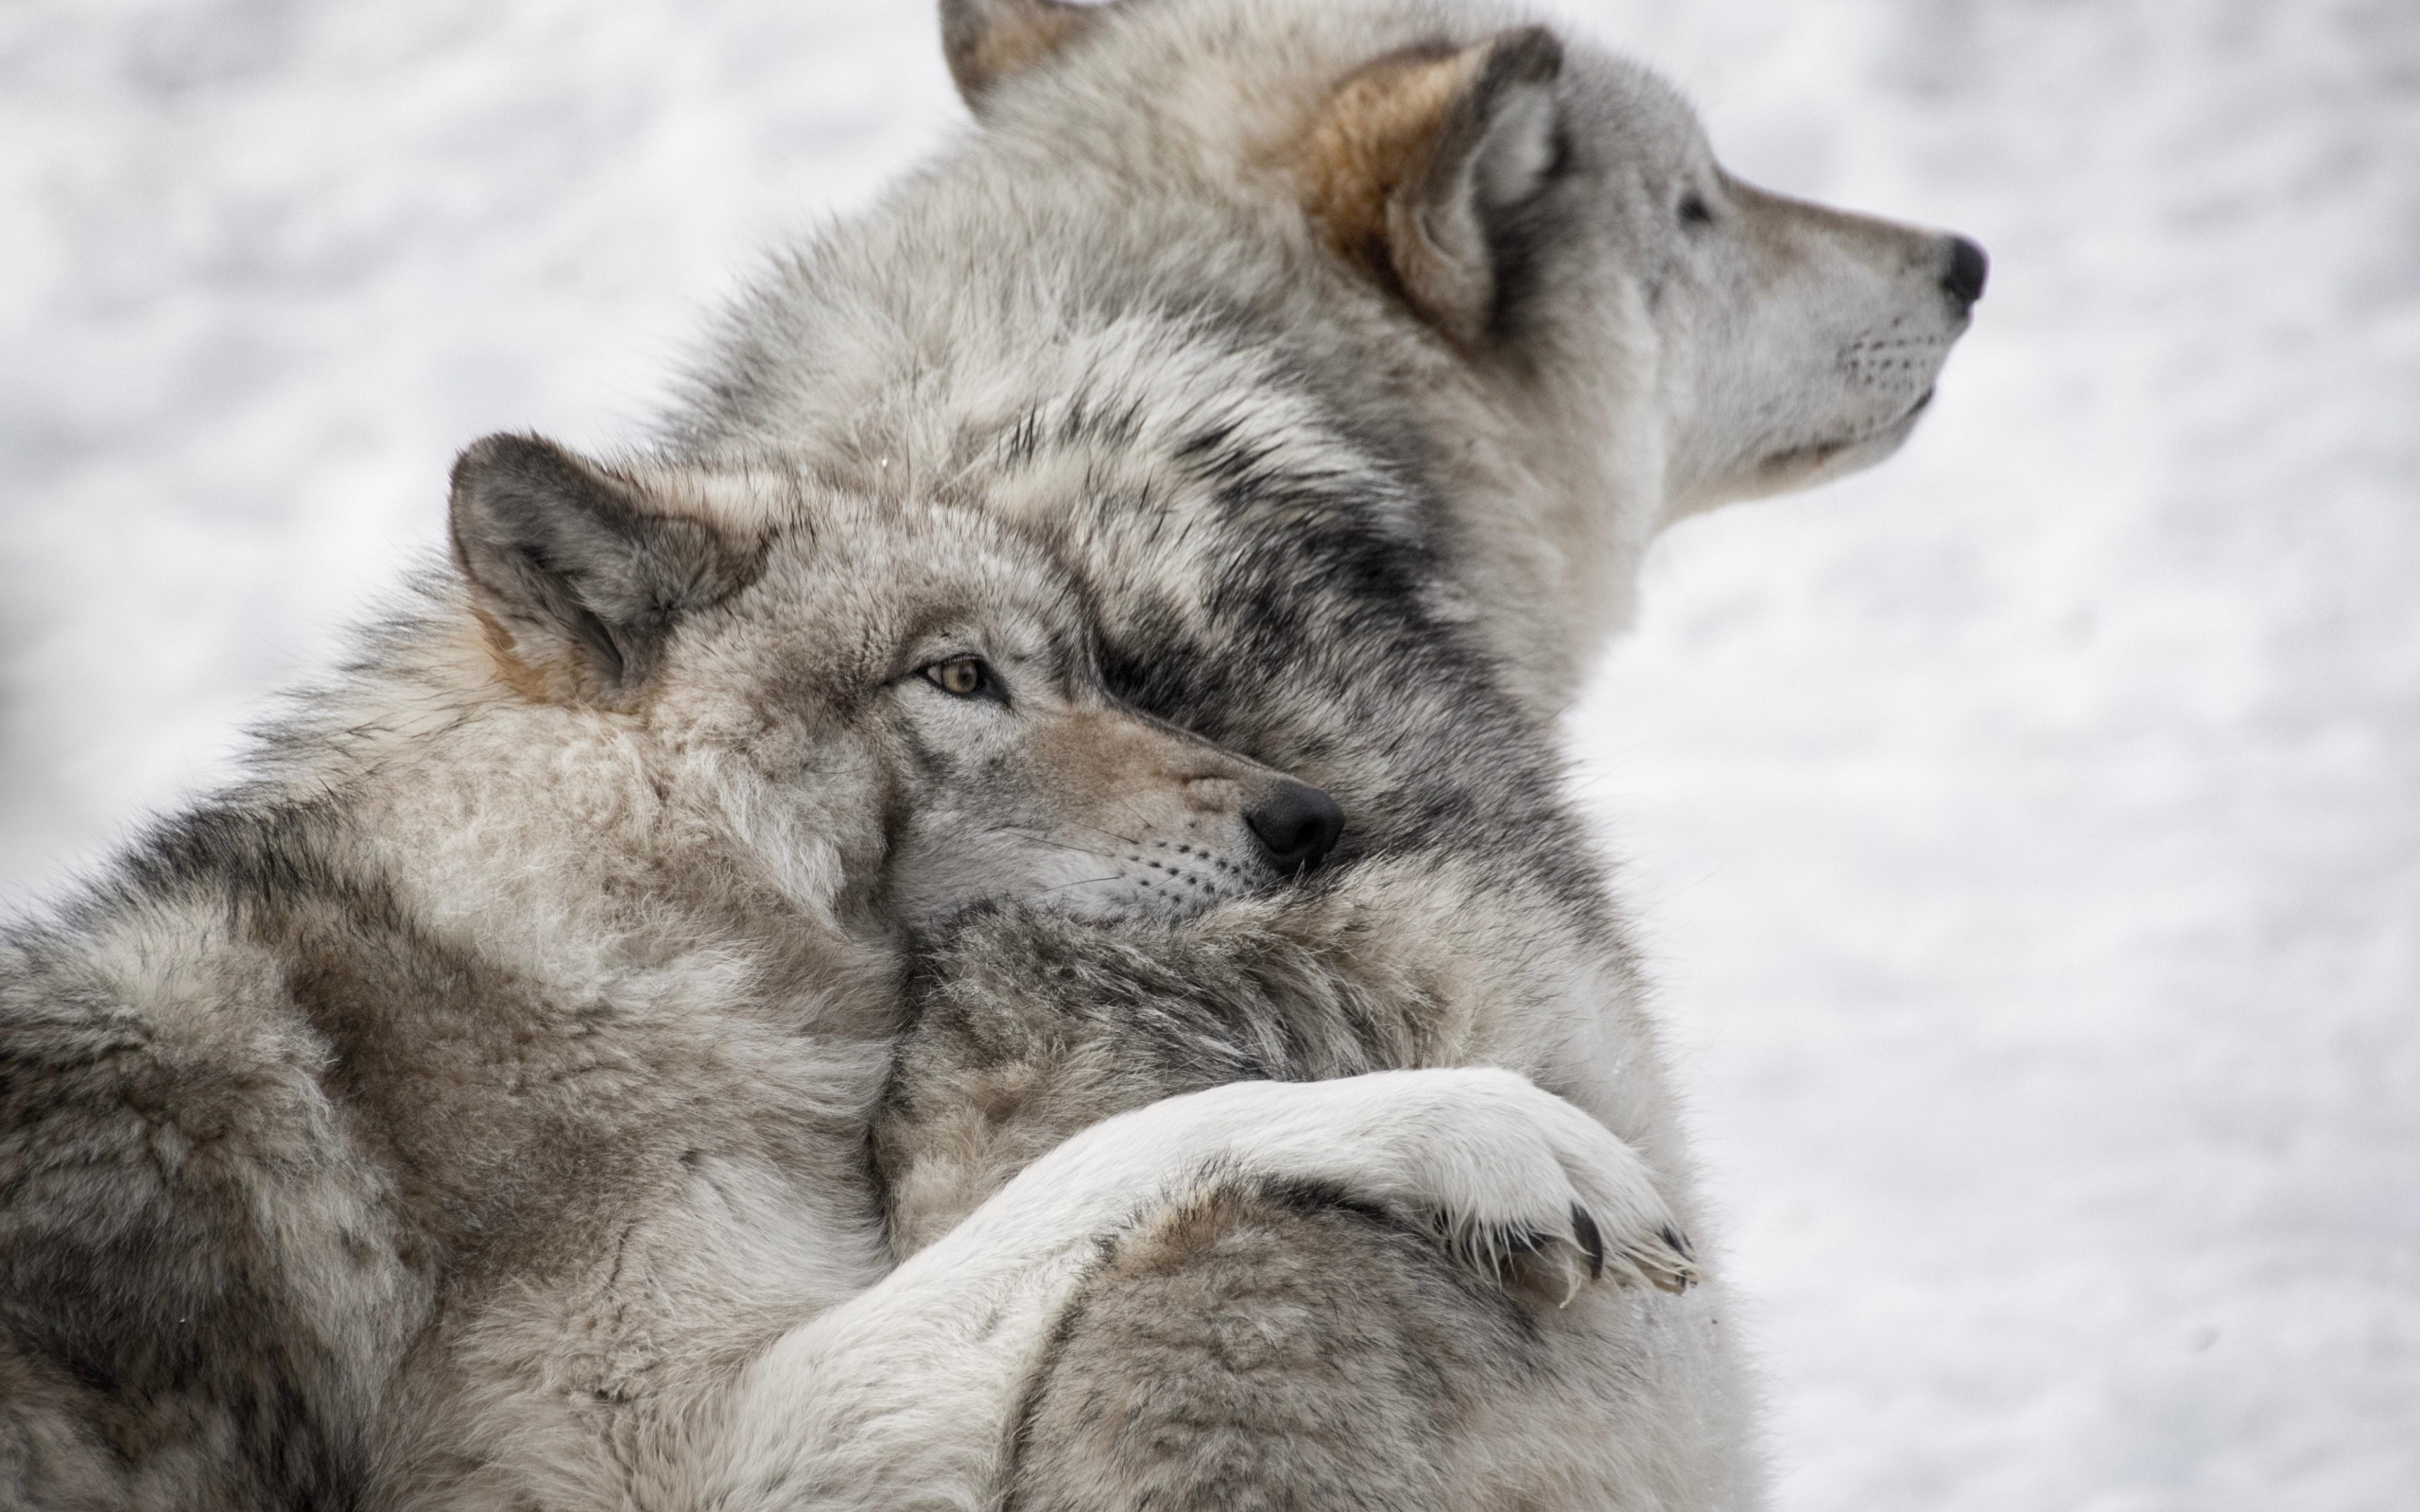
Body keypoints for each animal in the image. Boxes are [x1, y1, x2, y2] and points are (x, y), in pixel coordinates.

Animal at [0, 0, 1974, 1500]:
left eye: (1090, 659)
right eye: (1703, 204)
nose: (1962, 256)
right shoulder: (691, 1446)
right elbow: (1156, 1146)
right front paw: (1492, 1134)